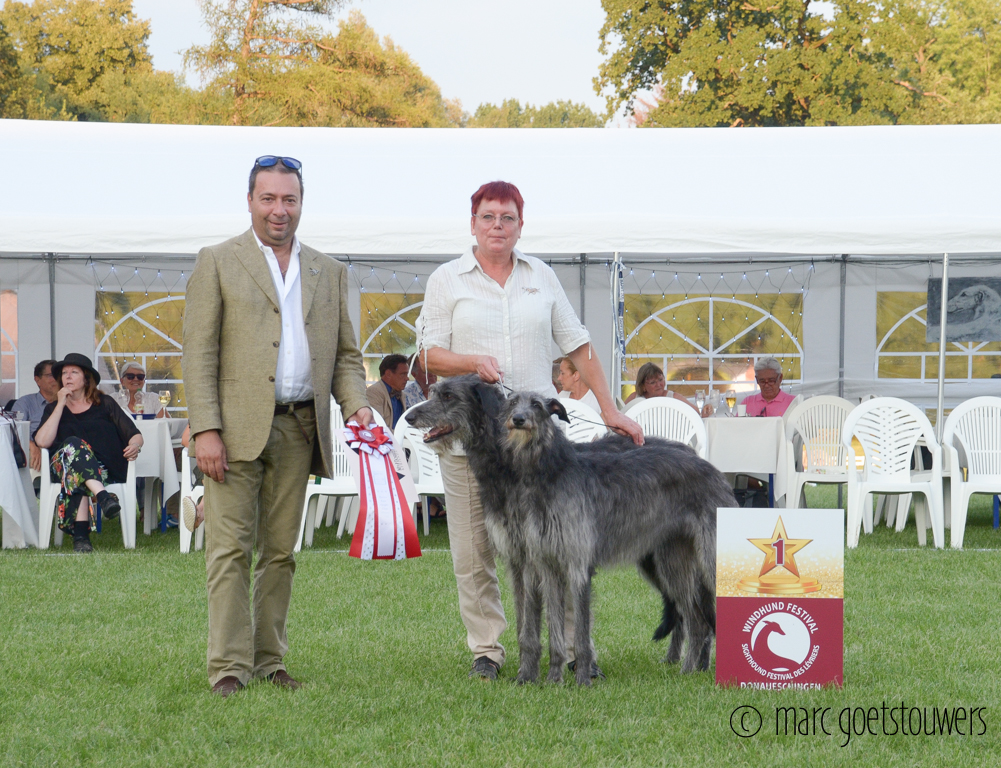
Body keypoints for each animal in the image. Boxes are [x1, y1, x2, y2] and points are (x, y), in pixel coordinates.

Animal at [407, 375, 735, 685]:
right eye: (434, 392)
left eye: (448, 396)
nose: (410, 417)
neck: (509, 465)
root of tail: (709, 467)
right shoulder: (523, 558)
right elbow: (526, 625)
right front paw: (529, 674)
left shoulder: (553, 559)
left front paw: (548, 674)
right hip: (666, 560)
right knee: (692, 616)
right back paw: (691, 666)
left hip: (704, 558)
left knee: (698, 616)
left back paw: (692, 669)